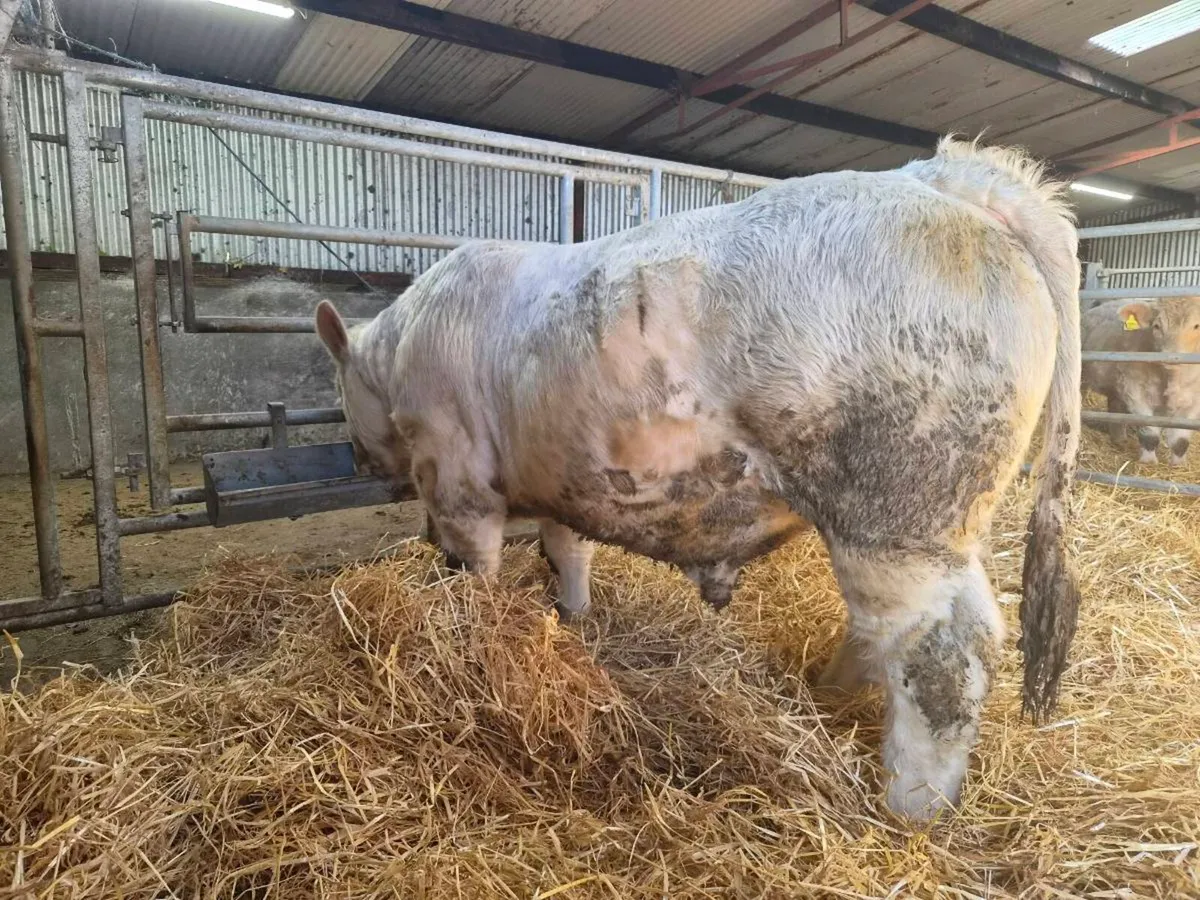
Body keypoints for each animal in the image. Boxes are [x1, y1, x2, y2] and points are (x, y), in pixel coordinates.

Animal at [315, 137, 1082, 820]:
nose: (357, 459)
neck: (400, 350)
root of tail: (944, 181)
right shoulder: (562, 476)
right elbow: (568, 549)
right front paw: (574, 615)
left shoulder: (455, 473)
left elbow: (474, 567)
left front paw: (471, 628)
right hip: (935, 525)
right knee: (904, 631)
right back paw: (829, 693)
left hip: (899, 509)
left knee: (945, 650)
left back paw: (911, 807)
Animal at [1081, 296, 1200, 466]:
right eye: (1157, 326)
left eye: (1196, 326)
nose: (1171, 356)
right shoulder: (1135, 390)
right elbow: (1149, 434)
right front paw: (1148, 461)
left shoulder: (1194, 402)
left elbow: (1180, 441)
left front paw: (1179, 464)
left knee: (1115, 409)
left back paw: (1119, 440)